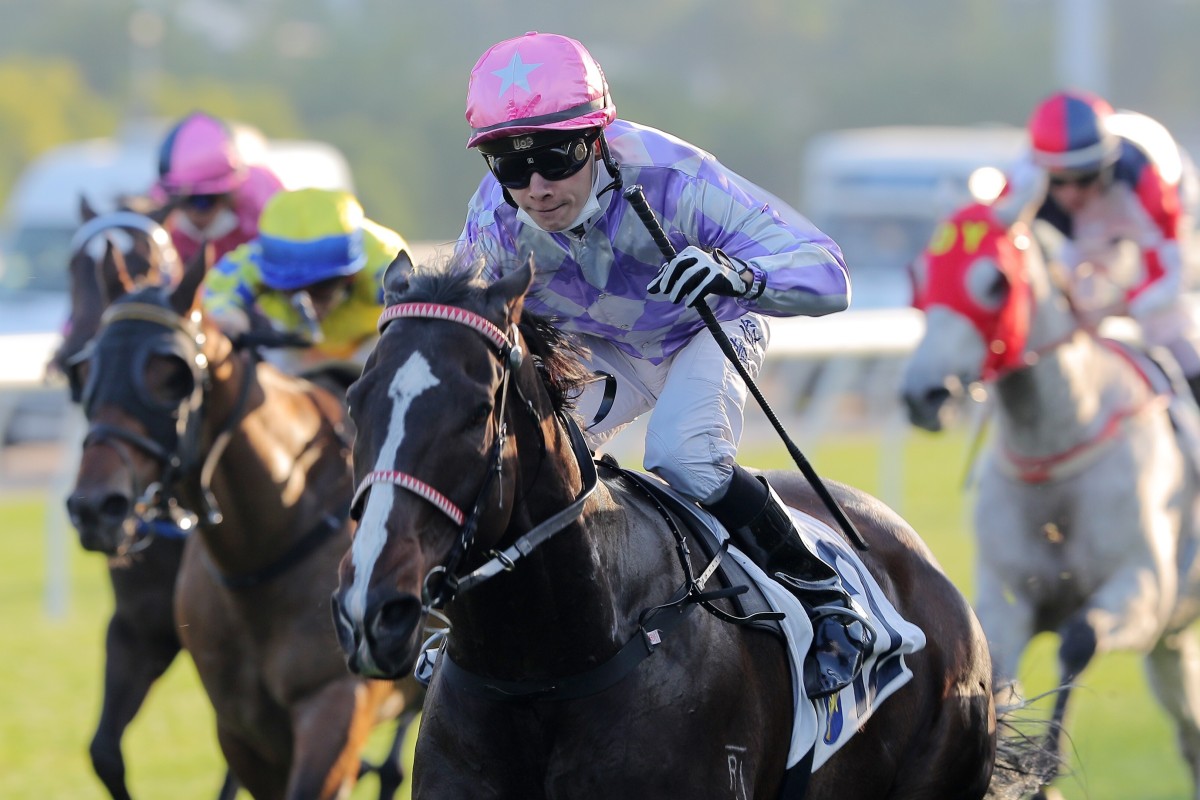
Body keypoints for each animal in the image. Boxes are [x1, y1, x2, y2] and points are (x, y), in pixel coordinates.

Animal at [66, 251, 422, 800]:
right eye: (87, 369)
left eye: (173, 374)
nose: (94, 506)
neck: (266, 548)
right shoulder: (238, 722)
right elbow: (107, 753)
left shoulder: (337, 701)